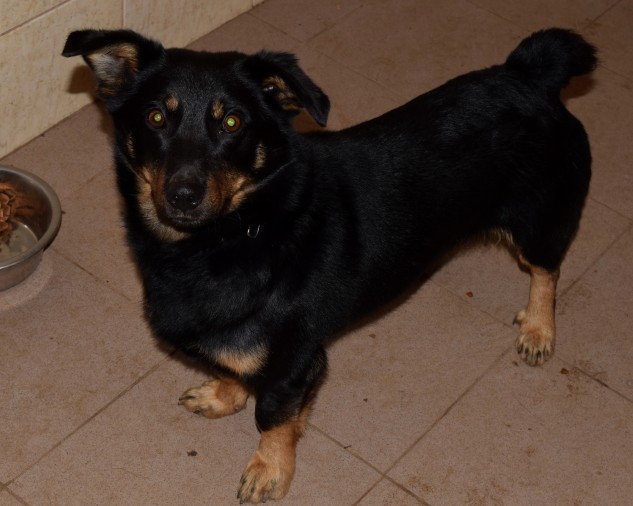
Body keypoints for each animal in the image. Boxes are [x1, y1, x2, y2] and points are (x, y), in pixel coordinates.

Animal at [62, 27, 596, 503]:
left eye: (233, 123)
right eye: (155, 117)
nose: (183, 195)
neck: (239, 230)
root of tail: (529, 74)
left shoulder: (295, 363)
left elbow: (273, 417)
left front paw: (270, 469)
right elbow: (234, 366)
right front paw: (223, 395)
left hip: (538, 222)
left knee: (547, 271)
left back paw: (538, 328)